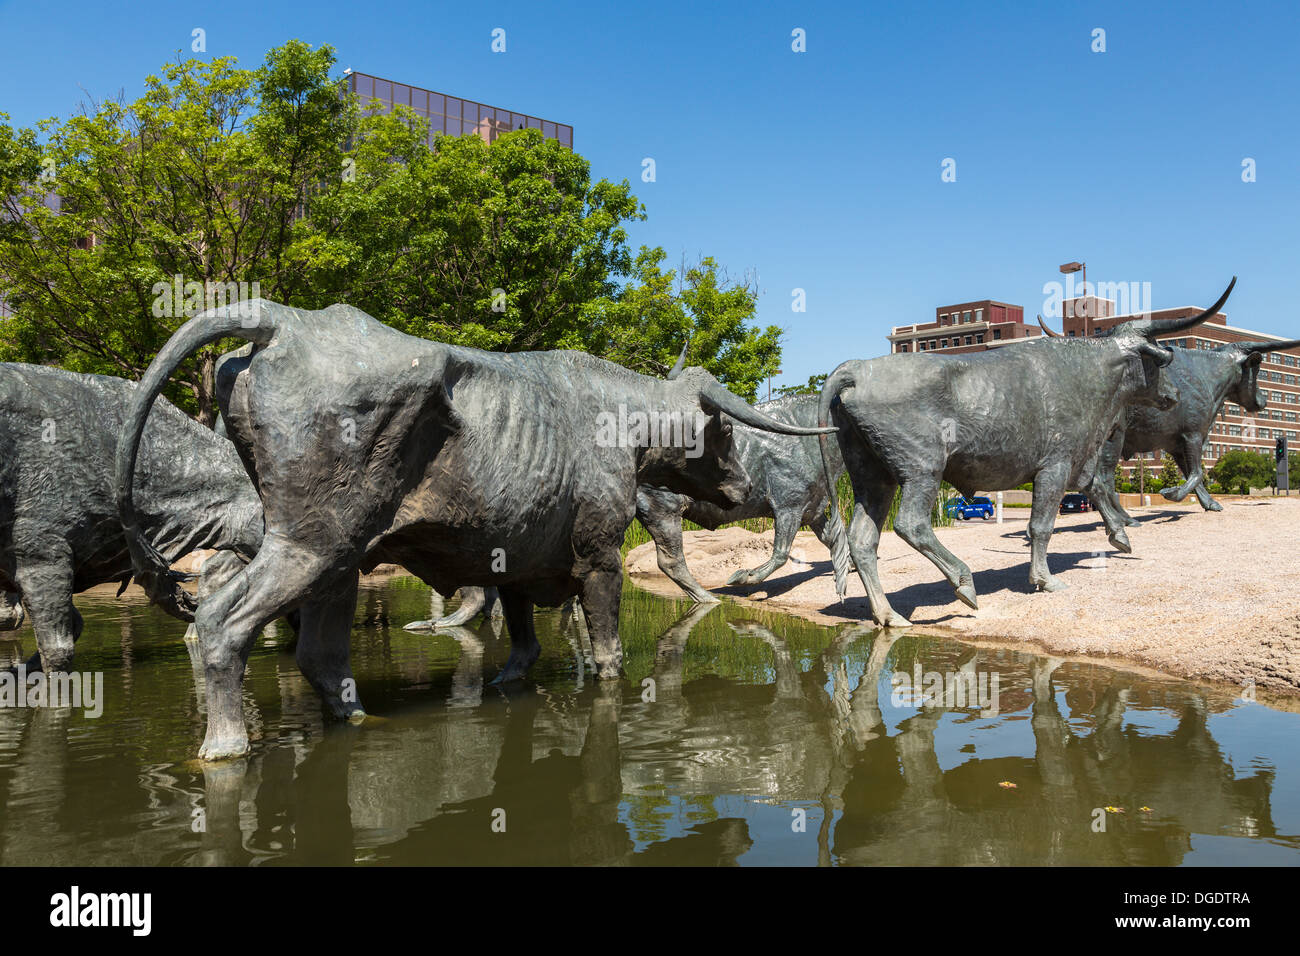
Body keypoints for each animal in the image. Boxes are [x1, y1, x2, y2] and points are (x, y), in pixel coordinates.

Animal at [115, 299, 836, 760]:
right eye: (722, 433)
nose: (741, 490)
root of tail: (284, 320)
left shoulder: (515, 560)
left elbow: (522, 648)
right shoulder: (599, 555)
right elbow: (605, 653)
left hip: (336, 558)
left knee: (319, 652)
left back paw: (360, 719)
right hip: (309, 542)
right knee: (221, 621)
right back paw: (225, 746)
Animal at [816, 279, 1235, 628]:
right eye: (1157, 361)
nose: (1174, 394)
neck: (1088, 372)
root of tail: (859, 369)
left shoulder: (1079, 463)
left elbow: (1092, 490)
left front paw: (1119, 536)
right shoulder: (1056, 465)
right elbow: (1042, 525)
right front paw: (1045, 580)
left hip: (873, 477)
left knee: (863, 540)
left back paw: (889, 615)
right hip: (922, 470)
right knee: (911, 524)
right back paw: (964, 584)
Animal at [1035, 321, 1300, 549]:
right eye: (1257, 369)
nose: (1263, 401)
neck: (1208, 377)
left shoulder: (1177, 444)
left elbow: (1194, 474)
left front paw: (1210, 503)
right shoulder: (1194, 435)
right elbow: (1197, 472)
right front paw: (1171, 493)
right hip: (1113, 438)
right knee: (1103, 480)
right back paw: (1126, 521)